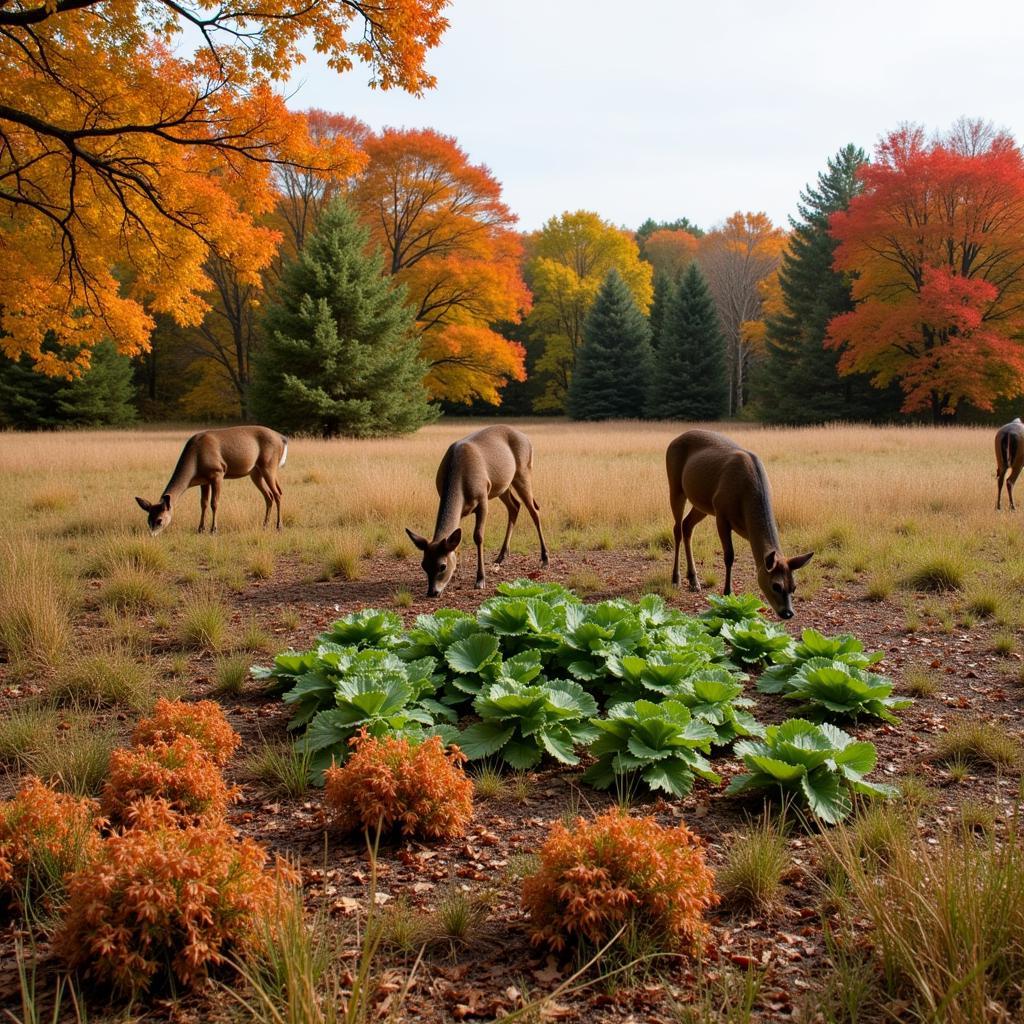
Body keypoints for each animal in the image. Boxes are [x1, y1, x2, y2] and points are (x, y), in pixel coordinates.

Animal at [135, 425, 288, 536]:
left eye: (159, 520)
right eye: (148, 519)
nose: (152, 535)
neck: (195, 463)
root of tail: (282, 438)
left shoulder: (217, 473)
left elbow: (214, 503)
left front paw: (213, 529)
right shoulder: (204, 480)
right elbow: (203, 503)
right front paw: (200, 528)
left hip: (269, 465)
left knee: (277, 493)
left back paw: (279, 526)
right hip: (255, 472)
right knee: (269, 495)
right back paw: (265, 525)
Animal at [405, 425, 552, 598]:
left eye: (442, 566)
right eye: (423, 565)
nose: (432, 592)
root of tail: (526, 438)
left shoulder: (482, 498)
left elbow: (478, 536)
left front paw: (480, 579)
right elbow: (457, 538)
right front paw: (457, 573)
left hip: (523, 472)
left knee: (534, 510)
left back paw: (545, 558)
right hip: (502, 485)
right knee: (515, 506)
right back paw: (500, 557)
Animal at [663, 428, 815, 618]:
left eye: (794, 587)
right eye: (776, 585)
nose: (787, 613)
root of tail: (675, 439)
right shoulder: (721, 513)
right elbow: (729, 555)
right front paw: (728, 593)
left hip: (702, 504)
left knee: (687, 526)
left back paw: (693, 580)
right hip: (675, 485)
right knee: (676, 529)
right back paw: (675, 579)